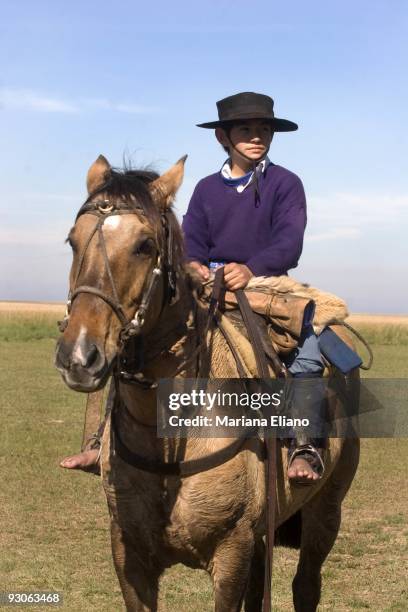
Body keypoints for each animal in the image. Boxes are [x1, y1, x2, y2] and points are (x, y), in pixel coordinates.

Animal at [55, 155, 358, 608]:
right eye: (73, 241)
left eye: (144, 245)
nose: (78, 356)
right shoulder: (128, 555)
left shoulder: (232, 552)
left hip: (326, 509)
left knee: (306, 585)